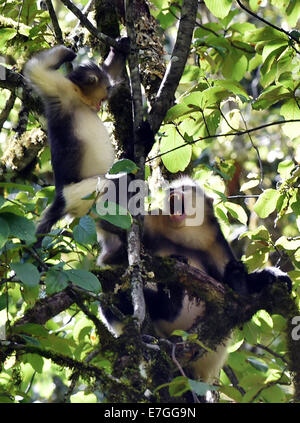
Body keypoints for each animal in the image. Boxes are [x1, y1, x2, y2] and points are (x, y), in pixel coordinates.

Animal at [23, 38, 130, 243]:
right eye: (105, 90)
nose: (107, 95)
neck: (80, 99)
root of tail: (61, 200)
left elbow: (108, 69)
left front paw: (120, 47)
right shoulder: (60, 90)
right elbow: (34, 69)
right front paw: (68, 53)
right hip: (80, 194)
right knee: (109, 183)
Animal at [98, 176, 290, 384]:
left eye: (184, 188)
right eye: (171, 189)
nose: (173, 191)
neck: (184, 235)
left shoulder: (215, 240)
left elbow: (233, 287)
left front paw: (268, 277)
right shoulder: (150, 223)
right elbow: (111, 254)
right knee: (110, 294)